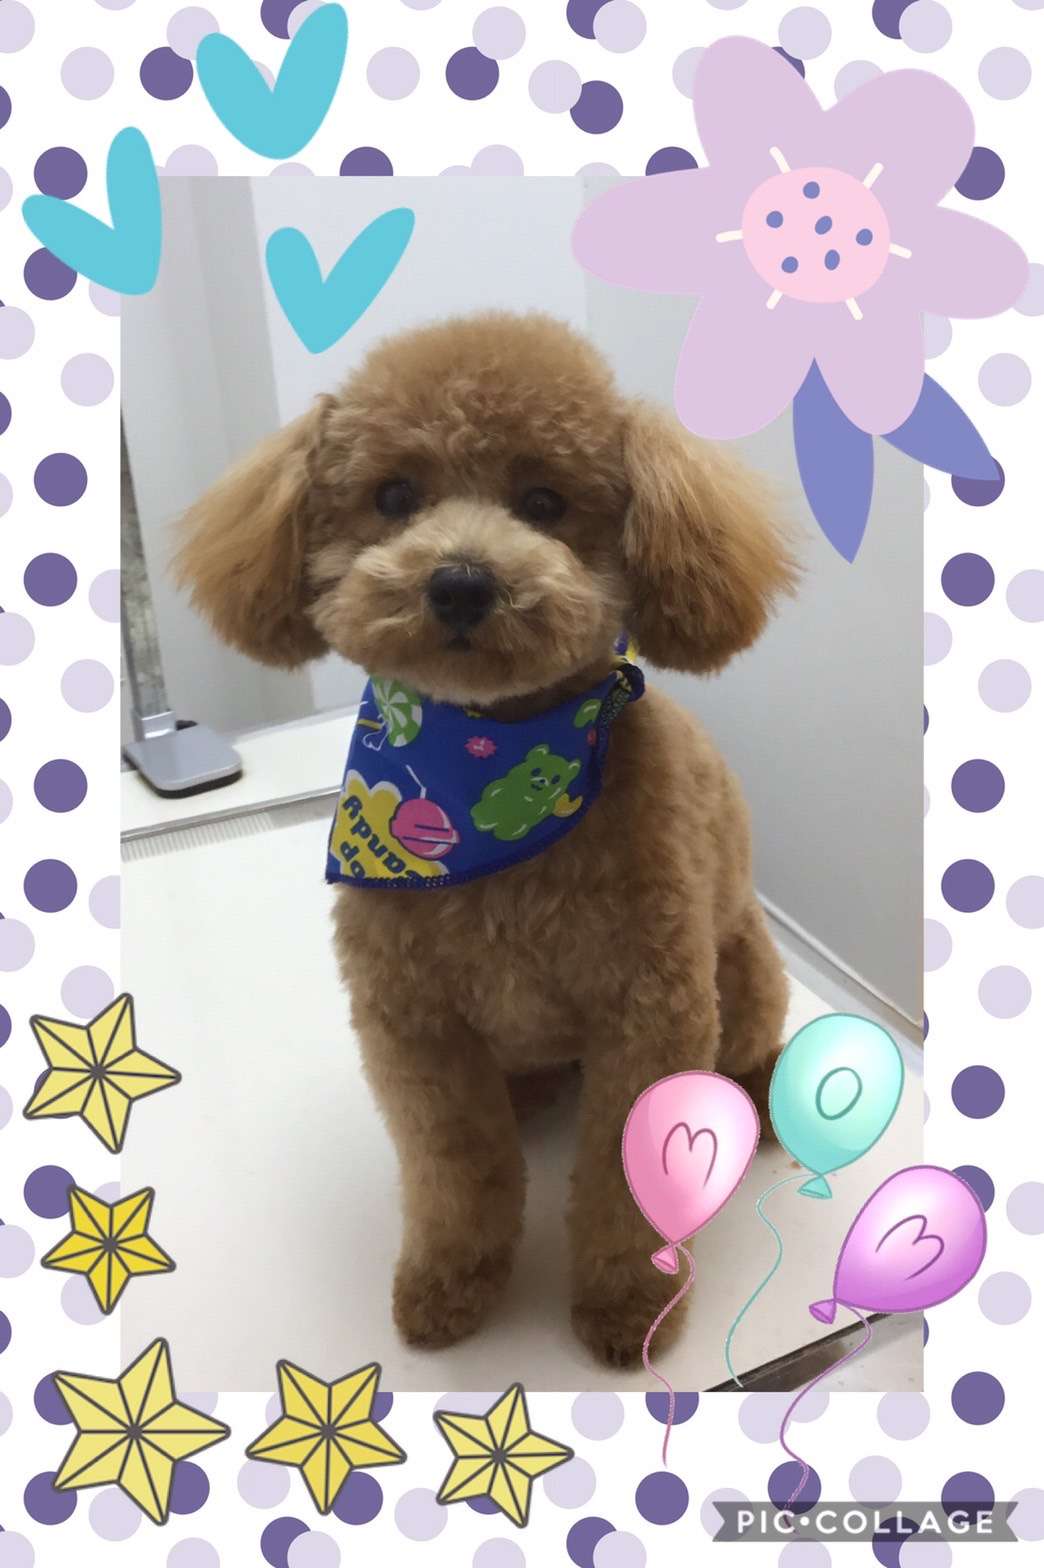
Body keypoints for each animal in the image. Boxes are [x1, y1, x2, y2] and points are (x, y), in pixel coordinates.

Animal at [176, 311, 797, 1367]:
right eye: (393, 496)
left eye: (544, 501)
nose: (462, 583)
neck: (486, 778)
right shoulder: (415, 1025)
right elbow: (456, 1169)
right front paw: (449, 1284)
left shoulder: (652, 1015)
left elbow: (628, 1179)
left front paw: (630, 1301)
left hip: (744, 972)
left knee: (754, 1048)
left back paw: (756, 1102)